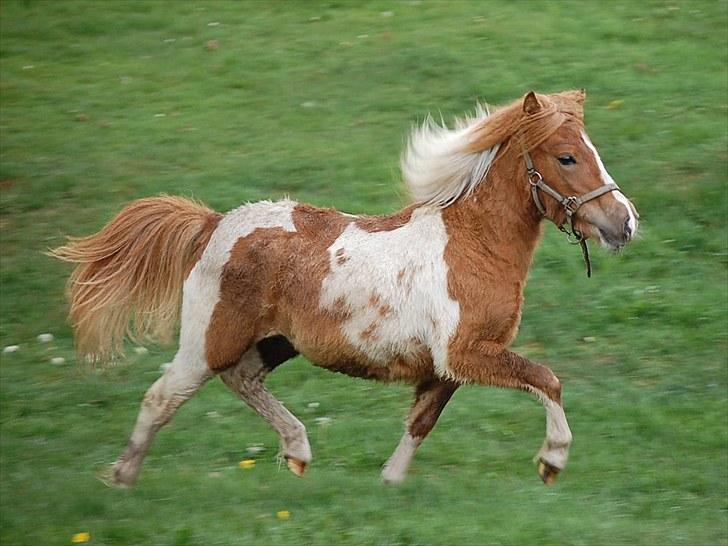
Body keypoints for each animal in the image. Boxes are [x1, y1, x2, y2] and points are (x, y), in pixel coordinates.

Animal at [52, 88, 636, 484]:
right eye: (567, 156)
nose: (624, 222)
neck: (473, 243)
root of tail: (214, 224)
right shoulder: (467, 352)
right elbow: (547, 379)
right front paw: (552, 461)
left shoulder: (447, 367)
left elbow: (421, 422)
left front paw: (389, 482)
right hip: (208, 341)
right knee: (162, 397)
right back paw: (122, 478)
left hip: (274, 342)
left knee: (242, 380)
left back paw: (298, 452)